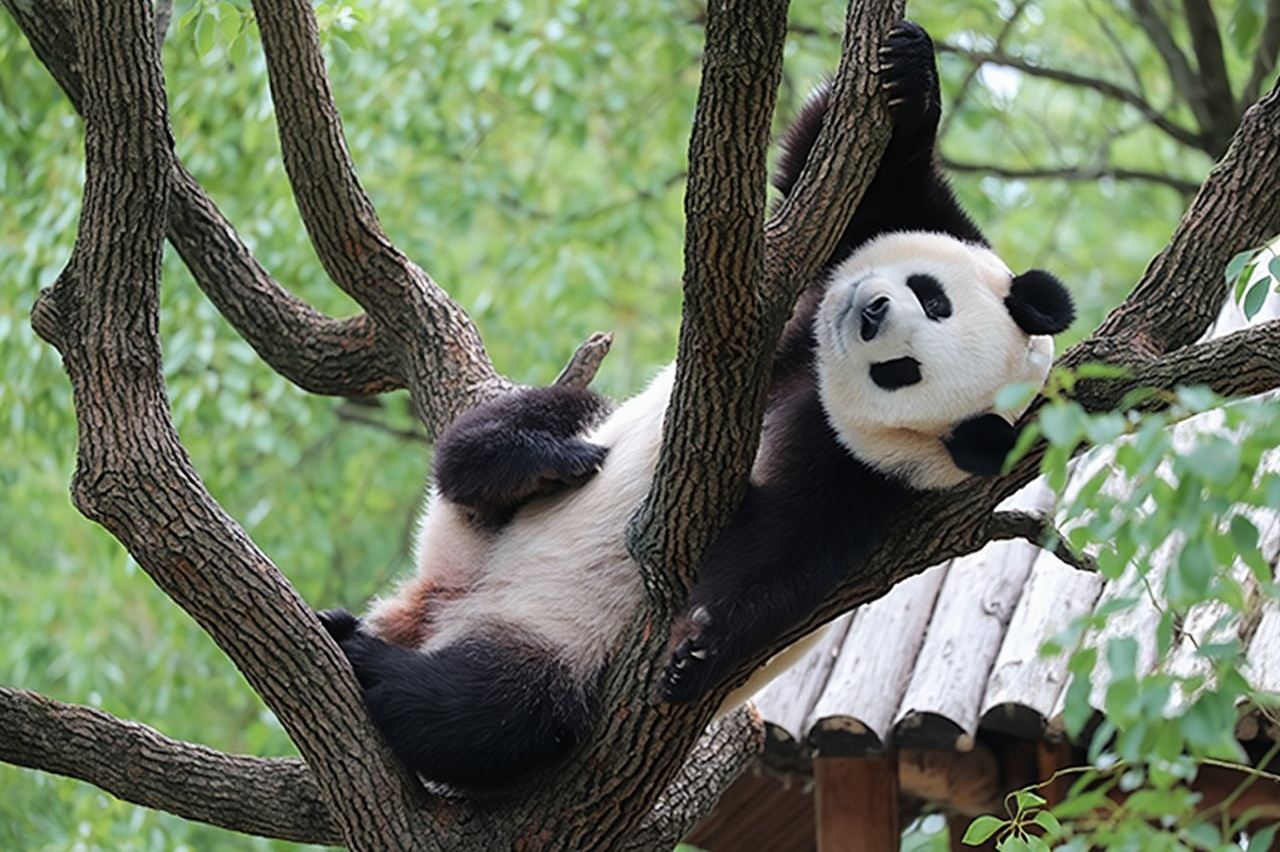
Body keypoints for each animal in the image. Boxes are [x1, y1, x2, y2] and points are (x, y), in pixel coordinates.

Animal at [317, 21, 1075, 791]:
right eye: (933, 296)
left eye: (903, 372)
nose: (869, 313)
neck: (818, 379)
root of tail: (441, 603)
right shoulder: (807, 294)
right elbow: (854, 185)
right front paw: (910, 71)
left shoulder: (868, 485)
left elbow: (785, 561)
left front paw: (694, 647)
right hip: (500, 508)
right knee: (525, 428)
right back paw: (534, 461)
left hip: (554, 657)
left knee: (491, 712)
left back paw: (368, 657)